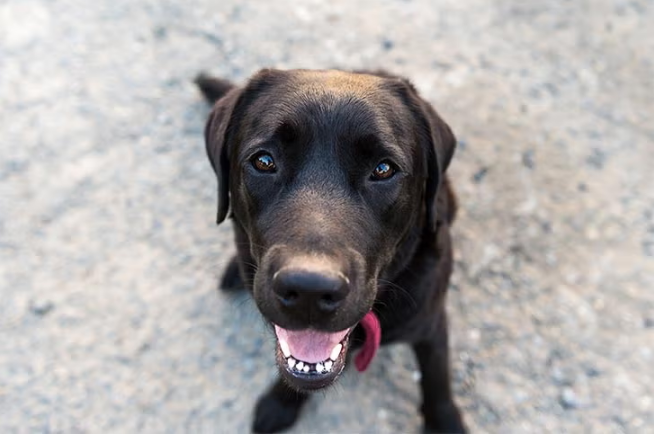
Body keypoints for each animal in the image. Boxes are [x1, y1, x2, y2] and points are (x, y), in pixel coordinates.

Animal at [195, 69, 466, 432]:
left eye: (384, 169)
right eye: (264, 161)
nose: (309, 290)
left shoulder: (431, 322)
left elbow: (437, 378)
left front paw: (446, 421)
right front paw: (281, 403)